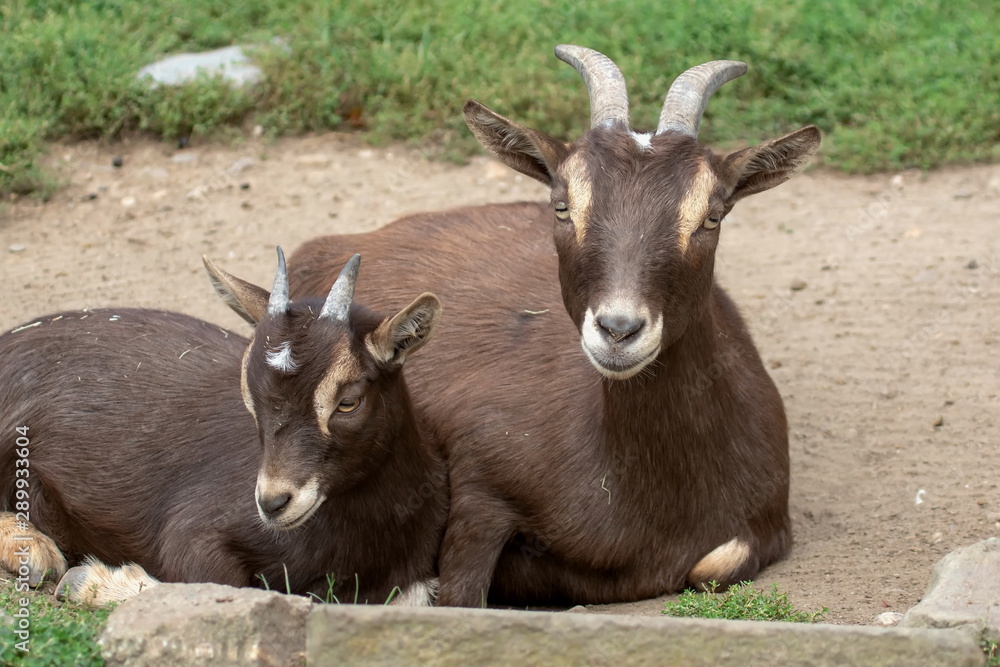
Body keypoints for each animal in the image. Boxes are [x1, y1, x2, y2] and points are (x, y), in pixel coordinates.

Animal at [0, 253, 446, 608]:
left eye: (348, 401)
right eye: (248, 391)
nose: (273, 503)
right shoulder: (192, 533)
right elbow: (224, 587)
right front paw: (87, 581)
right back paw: (32, 550)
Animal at [290, 43, 820, 604]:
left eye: (713, 215)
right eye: (563, 205)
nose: (618, 330)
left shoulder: (764, 525)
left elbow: (714, 563)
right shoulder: (481, 487)